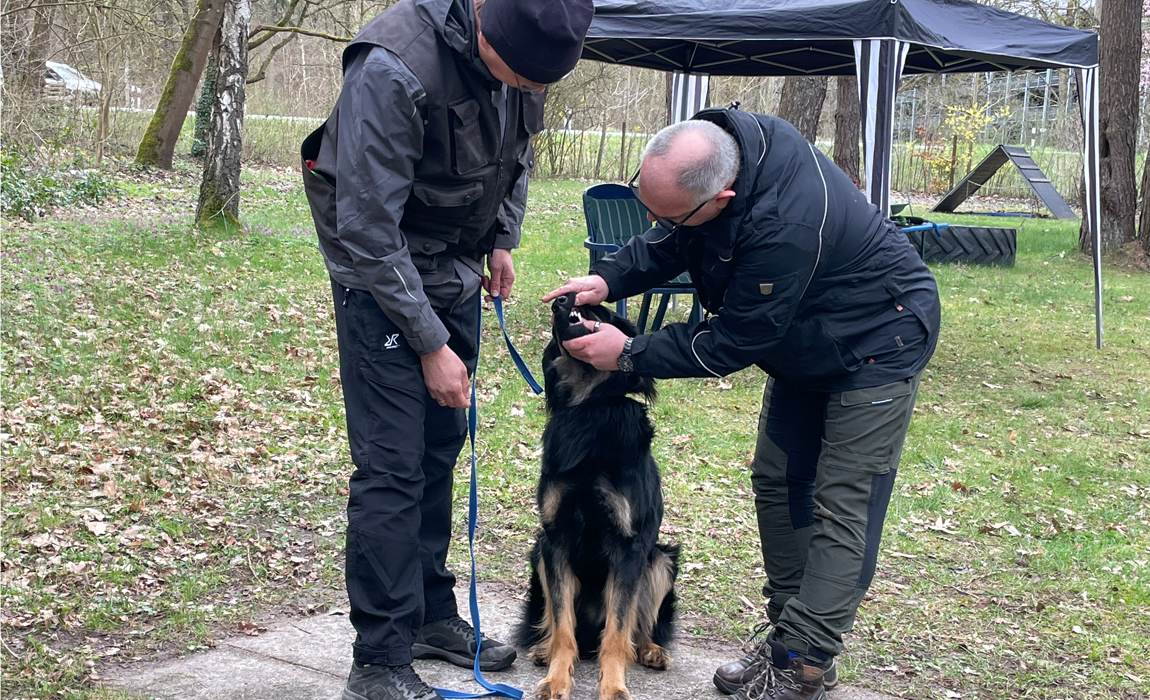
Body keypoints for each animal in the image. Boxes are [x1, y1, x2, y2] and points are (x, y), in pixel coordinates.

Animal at [517, 294, 676, 698]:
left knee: (636, 627)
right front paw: (557, 678)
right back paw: (543, 649)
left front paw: (614, 686)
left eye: (600, 310)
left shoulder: (628, 547)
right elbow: (562, 626)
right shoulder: (555, 540)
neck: (587, 408)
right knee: (560, 624)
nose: (562, 299)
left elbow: (618, 633)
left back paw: (650, 649)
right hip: (539, 553)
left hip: (661, 559)